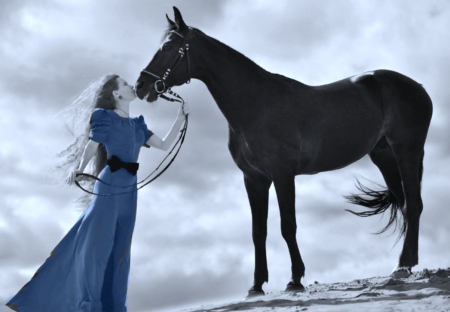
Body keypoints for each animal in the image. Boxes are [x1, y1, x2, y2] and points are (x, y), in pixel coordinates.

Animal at [136, 6, 432, 294]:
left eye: (168, 47)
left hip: (407, 151)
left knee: (414, 205)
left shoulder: (282, 174)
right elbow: (258, 231)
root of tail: (417, 86)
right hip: (384, 157)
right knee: (406, 205)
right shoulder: (254, 179)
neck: (256, 104)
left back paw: (402, 266)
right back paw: (407, 264)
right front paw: (256, 284)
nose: (141, 86)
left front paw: (295, 279)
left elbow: (287, 226)